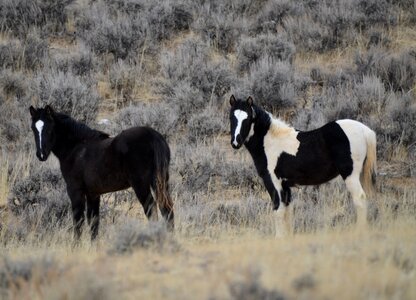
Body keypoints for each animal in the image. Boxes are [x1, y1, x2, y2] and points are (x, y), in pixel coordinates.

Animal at [29, 105, 172, 239]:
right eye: (33, 129)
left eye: (49, 129)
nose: (41, 155)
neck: (76, 149)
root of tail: (153, 136)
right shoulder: (93, 194)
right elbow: (93, 223)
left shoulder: (75, 191)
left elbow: (78, 221)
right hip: (161, 182)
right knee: (167, 209)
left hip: (141, 185)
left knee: (152, 211)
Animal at [229, 95, 378, 234]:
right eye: (231, 118)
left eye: (248, 118)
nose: (236, 142)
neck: (270, 142)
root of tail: (366, 131)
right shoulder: (285, 186)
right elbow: (288, 213)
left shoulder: (274, 182)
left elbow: (278, 211)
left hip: (350, 175)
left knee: (360, 199)